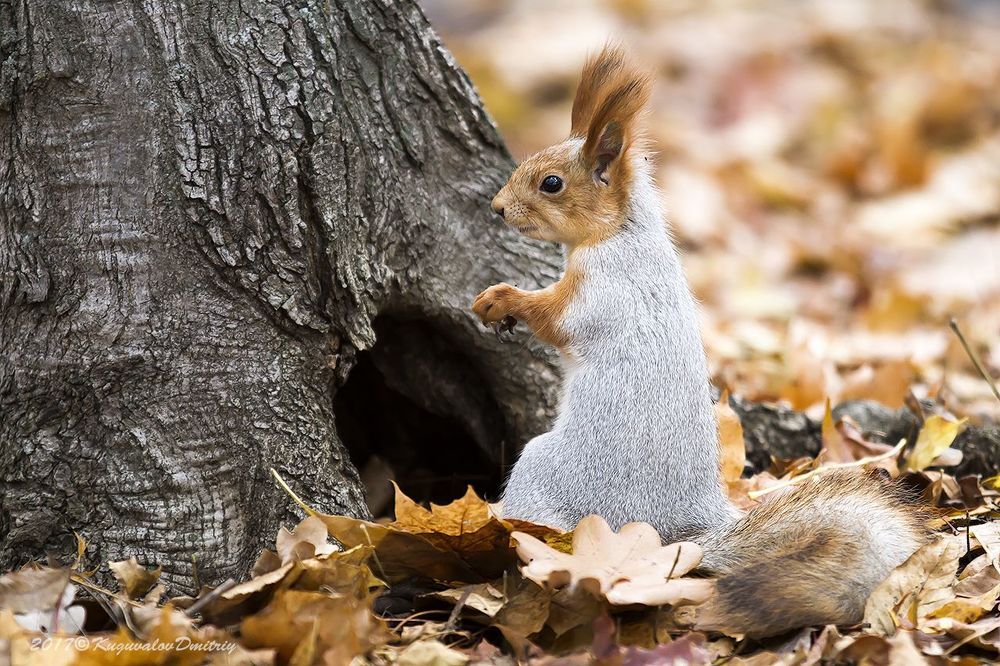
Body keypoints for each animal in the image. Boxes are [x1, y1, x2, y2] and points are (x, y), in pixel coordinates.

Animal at [471, 44, 928, 637]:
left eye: (552, 183)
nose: (498, 208)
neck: (621, 232)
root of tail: (684, 527)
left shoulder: (605, 288)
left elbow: (555, 319)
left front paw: (502, 299)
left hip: (549, 471)